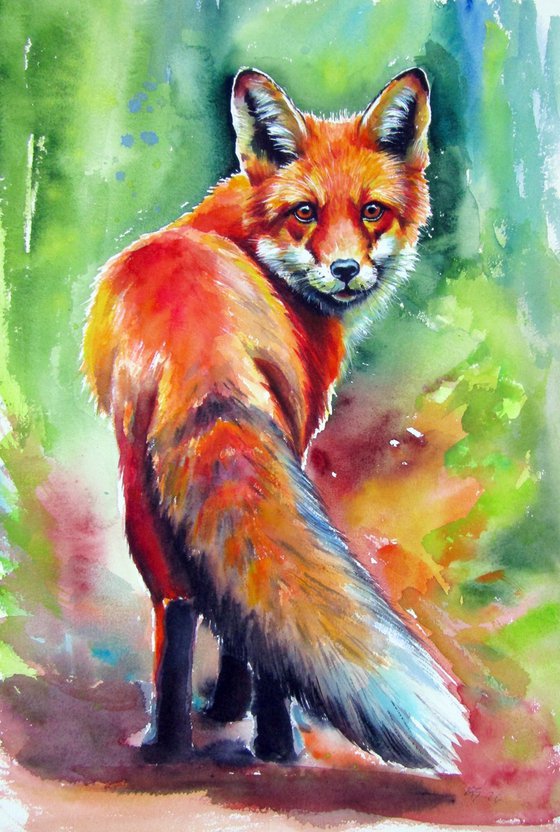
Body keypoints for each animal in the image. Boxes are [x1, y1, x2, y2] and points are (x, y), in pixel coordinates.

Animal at [82, 67, 475, 771]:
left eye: (372, 210)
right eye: (305, 213)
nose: (345, 270)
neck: (242, 237)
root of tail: (200, 338)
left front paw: (217, 713)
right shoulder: (300, 428)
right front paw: (236, 713)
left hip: (138, 490)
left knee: (184, 603)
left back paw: (168, 746)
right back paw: (275, 744)